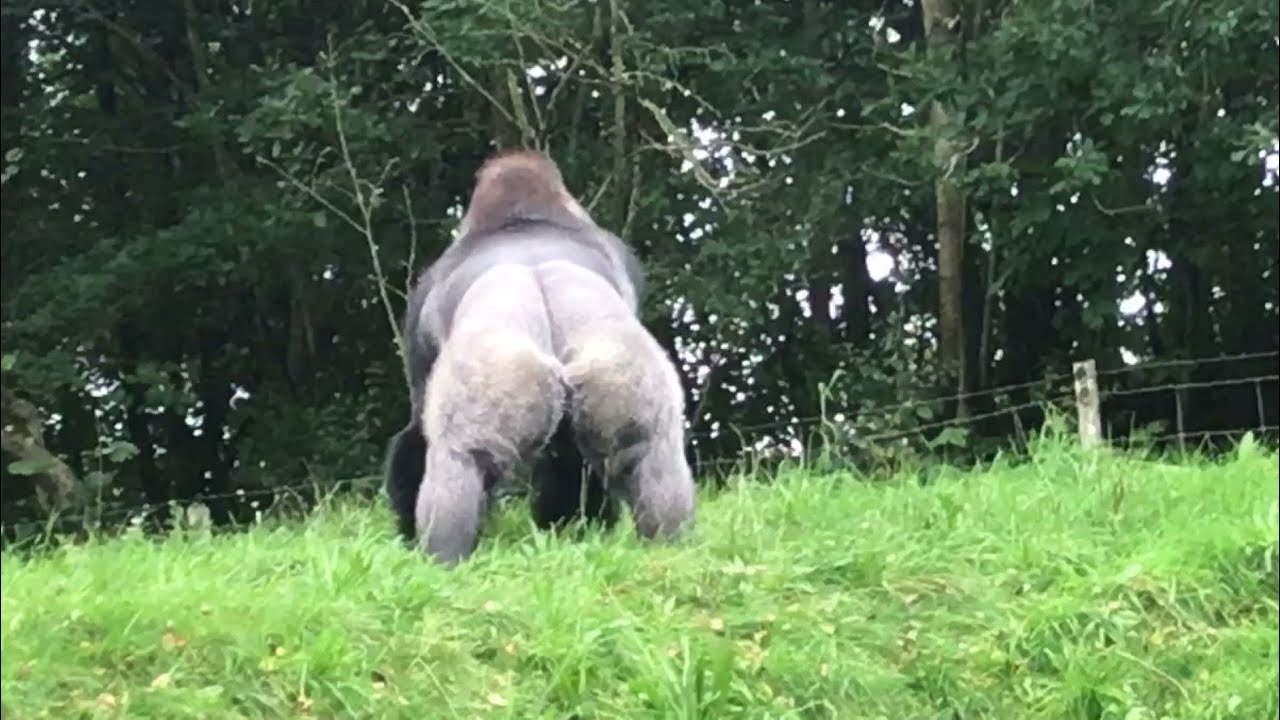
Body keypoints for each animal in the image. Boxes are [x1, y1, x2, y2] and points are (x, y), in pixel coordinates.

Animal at [384, 149, 696, 565]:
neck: (523, 220)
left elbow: (416, 429)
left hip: (499, 373)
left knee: (459, 457)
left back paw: (443, 557)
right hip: (620, 369)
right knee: (651, 451)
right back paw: (669, 547)